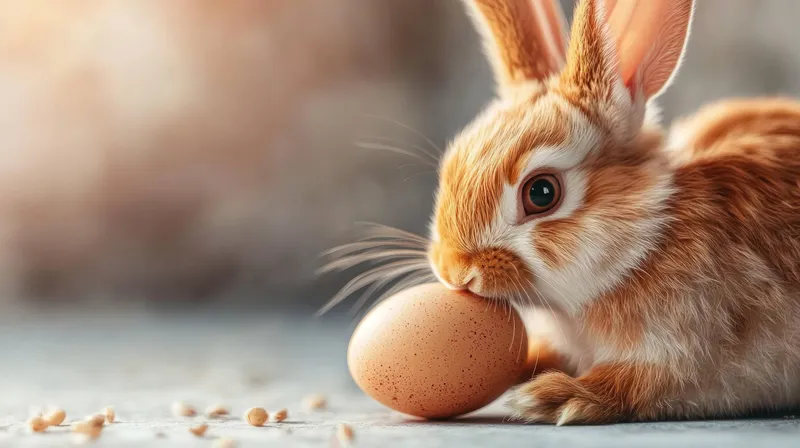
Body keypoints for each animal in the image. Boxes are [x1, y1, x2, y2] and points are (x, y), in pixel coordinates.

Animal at [427, 0, 800, 424]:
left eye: (541, 193)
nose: (454, 272)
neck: (645, 240)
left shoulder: (687, 353)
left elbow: (637, 384)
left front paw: (555, 396)